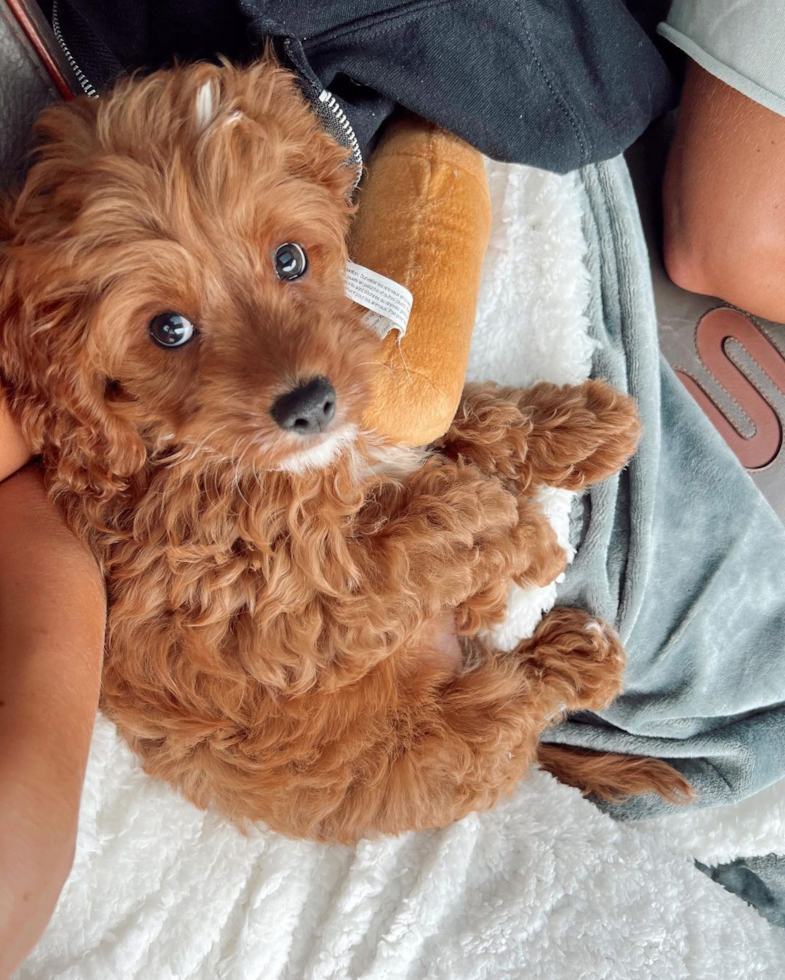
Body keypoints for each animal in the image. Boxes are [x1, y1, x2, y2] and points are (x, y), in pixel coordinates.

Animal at [0, 59, 688, 844]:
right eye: (167, 329)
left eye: (290, 258)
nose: (309, 404)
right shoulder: (281, 619)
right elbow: (404, 542)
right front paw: (514, 531)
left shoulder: (366, 402)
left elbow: (461, 421)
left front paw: (577, 426)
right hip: (427, 744)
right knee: (506, 712)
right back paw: (576, 657)